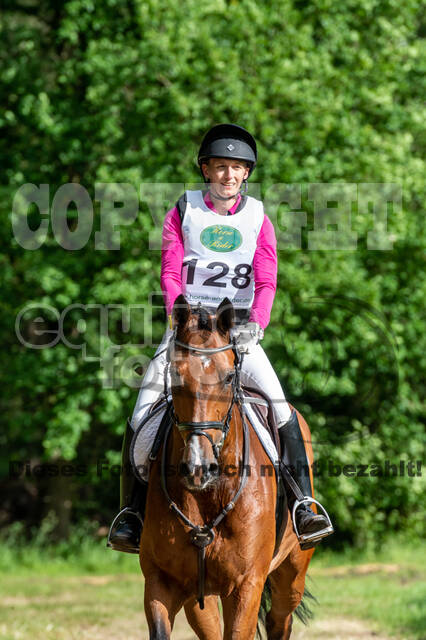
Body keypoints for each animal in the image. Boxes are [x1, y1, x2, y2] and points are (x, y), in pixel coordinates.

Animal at [140, 295, 316, 639]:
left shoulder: (246, 586)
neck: (209, 494)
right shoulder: (161, 582)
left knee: (280, 619)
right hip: (200, 597)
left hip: (292, 573)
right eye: (175, 376)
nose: (199, 467)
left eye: (228, 378)